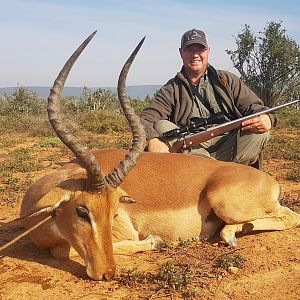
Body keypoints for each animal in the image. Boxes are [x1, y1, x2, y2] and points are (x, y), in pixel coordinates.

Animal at [18, 31, 300, 280]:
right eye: (81, 211)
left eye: (114, 213)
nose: (107, 273)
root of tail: (268, 179)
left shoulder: (125, 232)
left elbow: (69, 251)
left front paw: (157, 241)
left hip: (225, 203)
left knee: (290, 216)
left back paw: (228, 233)